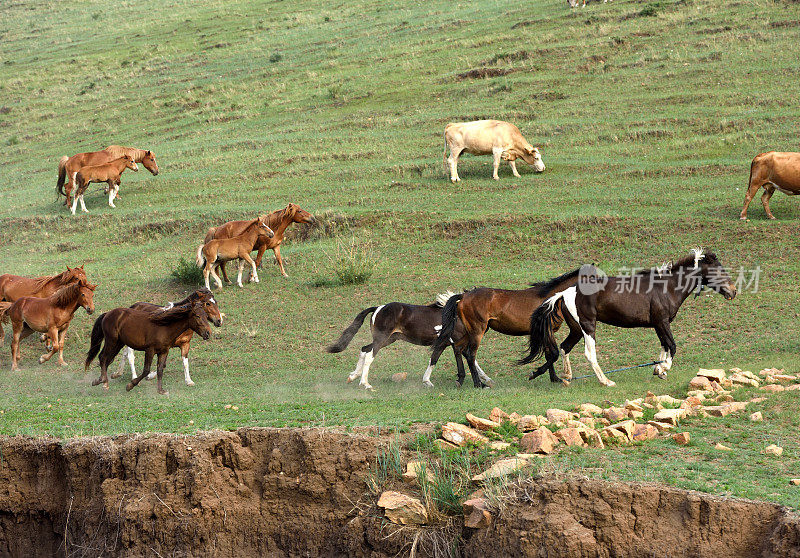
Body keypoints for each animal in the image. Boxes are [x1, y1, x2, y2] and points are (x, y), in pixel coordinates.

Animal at [324, 290, 482, 392]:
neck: (456, 315)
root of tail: (378, 308)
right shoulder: (453, 343)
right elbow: (468, 360)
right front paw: (479, 383)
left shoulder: (446, 344)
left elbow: (435, 360)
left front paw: (427, 382)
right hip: (381, 339)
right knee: (369, 355)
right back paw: (365, 384)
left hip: (388, 339)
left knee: (364, 349)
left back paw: (353, 376)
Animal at [428, 270, 580, 388]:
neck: (551, 298)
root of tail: (464, 295)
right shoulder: (546, 332)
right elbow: (554, 354)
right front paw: (534, 374)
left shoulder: (547, 332)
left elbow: (550, 354)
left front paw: (555, 379)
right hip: (477, 331)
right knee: (470, 355)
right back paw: (479, 384)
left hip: (469, 331)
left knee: (459, 349)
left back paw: (461, 379)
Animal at [520, 250, 736, 388]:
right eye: (718, 269)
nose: (733, 291)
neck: (667, 287)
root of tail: (565, 292)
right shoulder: (662, 322)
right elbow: (672, 346)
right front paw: (663, 368)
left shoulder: (659, 325)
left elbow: (664, 345)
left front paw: (659, 370)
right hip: (588, 327)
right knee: (589, 354)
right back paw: (606, 381)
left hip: (576, 329)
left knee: (564, 348)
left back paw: (566, 377)